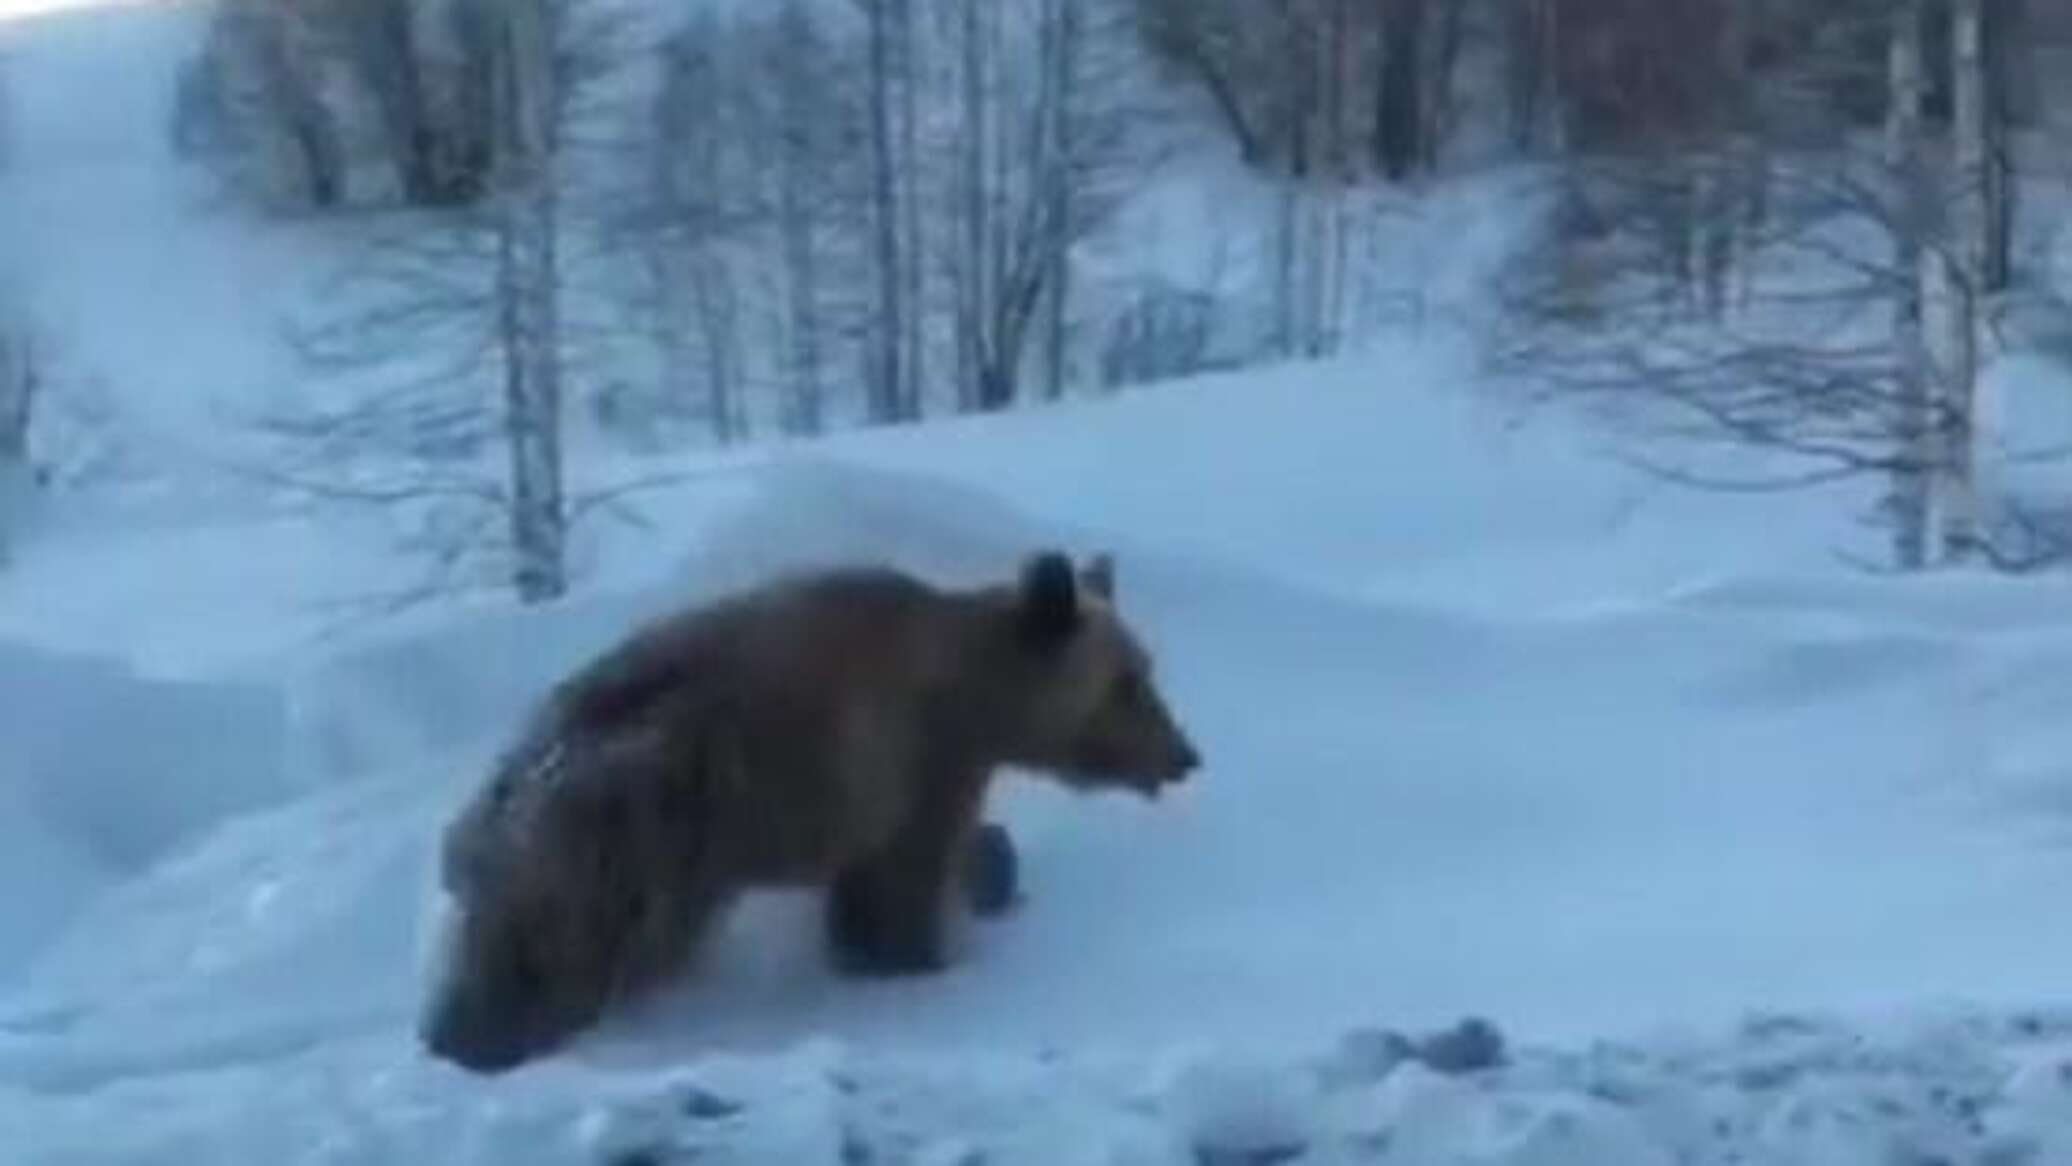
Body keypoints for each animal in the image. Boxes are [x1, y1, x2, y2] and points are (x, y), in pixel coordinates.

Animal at [416, 550, 1201, 1076]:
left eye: (1145, 669)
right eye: (1128, 680)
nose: (1185, 755)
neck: (971, 693)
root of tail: (486, 816)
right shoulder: (910, 764)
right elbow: (903, 886)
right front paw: (920, 957)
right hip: (625, 849)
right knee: (556, 966)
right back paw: (485, 1039)